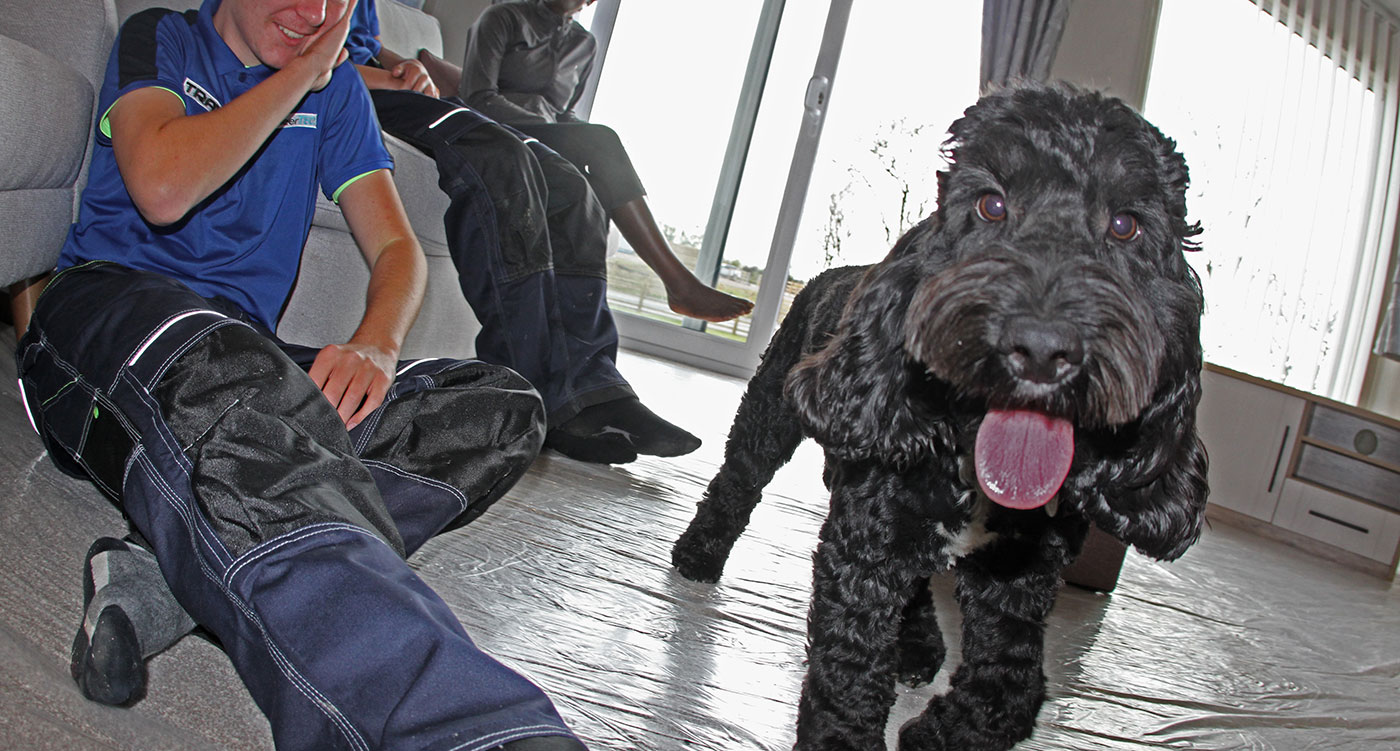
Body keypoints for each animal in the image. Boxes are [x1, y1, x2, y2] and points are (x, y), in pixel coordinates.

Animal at [672, 83, 1209, 751]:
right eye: (991, 205)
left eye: (1126, 224)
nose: (1042, 346)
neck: (971, 454)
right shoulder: (864, 554)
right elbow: (849, 674)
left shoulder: (1018, 577)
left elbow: (1009, 686)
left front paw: (942, 731)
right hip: (768, 418)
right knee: (736, 482)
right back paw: (698, 556)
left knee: (924, 582)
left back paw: (918, 644)